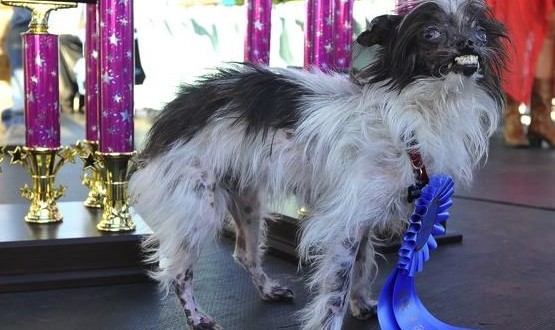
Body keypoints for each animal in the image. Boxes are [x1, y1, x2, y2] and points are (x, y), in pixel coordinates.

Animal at [129, 1, 508, 328]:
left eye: (480, 32)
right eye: (431, 33)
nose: (469, 43)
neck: (419, 111)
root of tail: (173, 111)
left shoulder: (364, 217)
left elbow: (361, 267)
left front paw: (362, 305)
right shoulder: (343, 224)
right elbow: (336, 291)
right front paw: (333, 318)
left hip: (247, 200)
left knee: (245, 254)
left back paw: (269, 289)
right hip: (198, 209)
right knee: (177, 271)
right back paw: (198, 318)